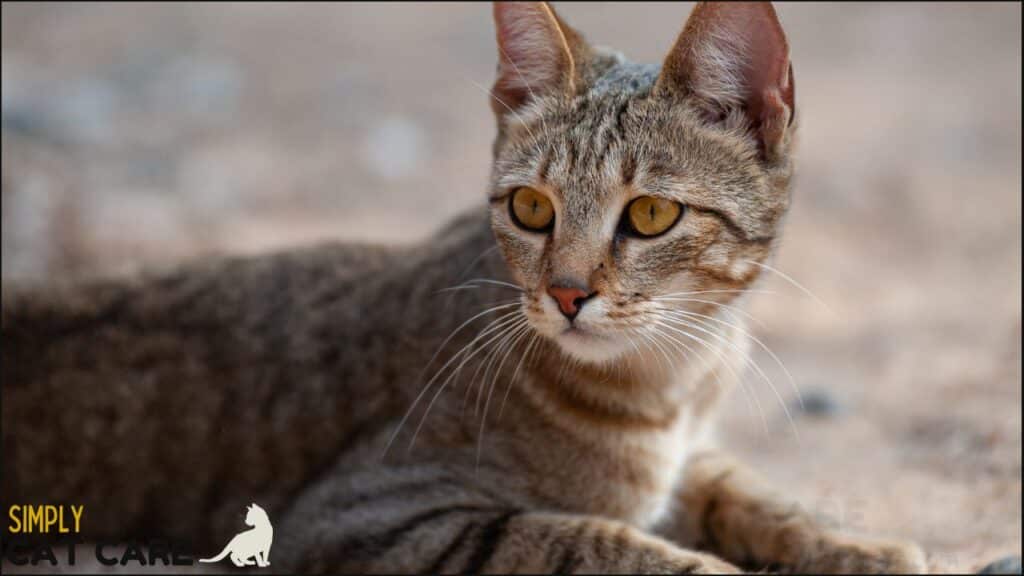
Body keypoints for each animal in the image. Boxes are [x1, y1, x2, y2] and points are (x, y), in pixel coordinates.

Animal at [0, 2, 929, 569]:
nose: (567, 294)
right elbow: (586, 540)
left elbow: (751, 492)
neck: (666, 382)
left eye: (652, 214)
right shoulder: (360, 516)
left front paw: (859, 547)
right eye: (531, 207)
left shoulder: (692, 453)